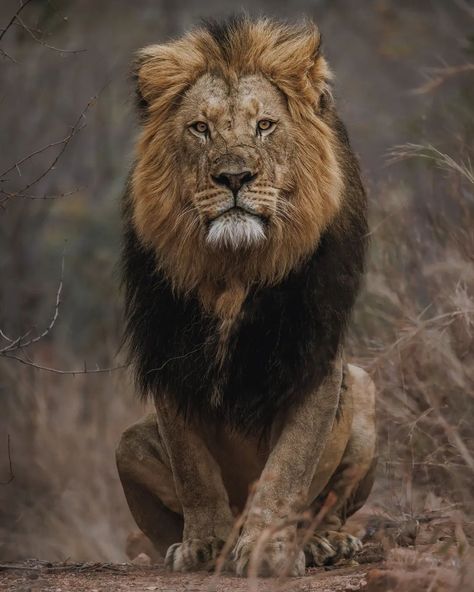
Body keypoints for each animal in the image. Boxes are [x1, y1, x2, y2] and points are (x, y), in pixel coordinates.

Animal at [116, 16, 376, 576]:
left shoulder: (315, 362)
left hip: (365, 393)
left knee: (329, 507)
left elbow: (287, 470)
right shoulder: (170, 357)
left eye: (265, 126)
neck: (234, 270)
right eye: (200, 128)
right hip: (128, 444)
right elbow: (193, 469)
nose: (234, 176)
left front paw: (268, 550)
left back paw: (323, 544)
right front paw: (203, 545)